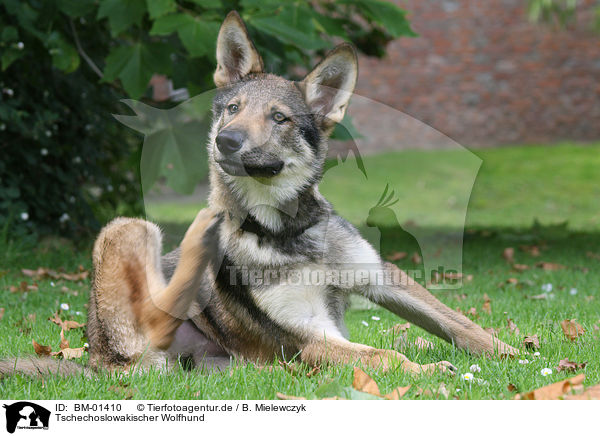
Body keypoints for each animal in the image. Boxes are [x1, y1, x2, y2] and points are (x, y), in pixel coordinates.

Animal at [0, 11, 516, 378]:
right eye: (232, 108)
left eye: (279, 118)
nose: (225, 141)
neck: (289, 233)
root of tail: (90, 360)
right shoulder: (310, 337)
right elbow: (381, 356)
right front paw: (432, 372)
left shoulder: (382, 278)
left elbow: (461, 325)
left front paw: (516, 353)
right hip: (130, 232)